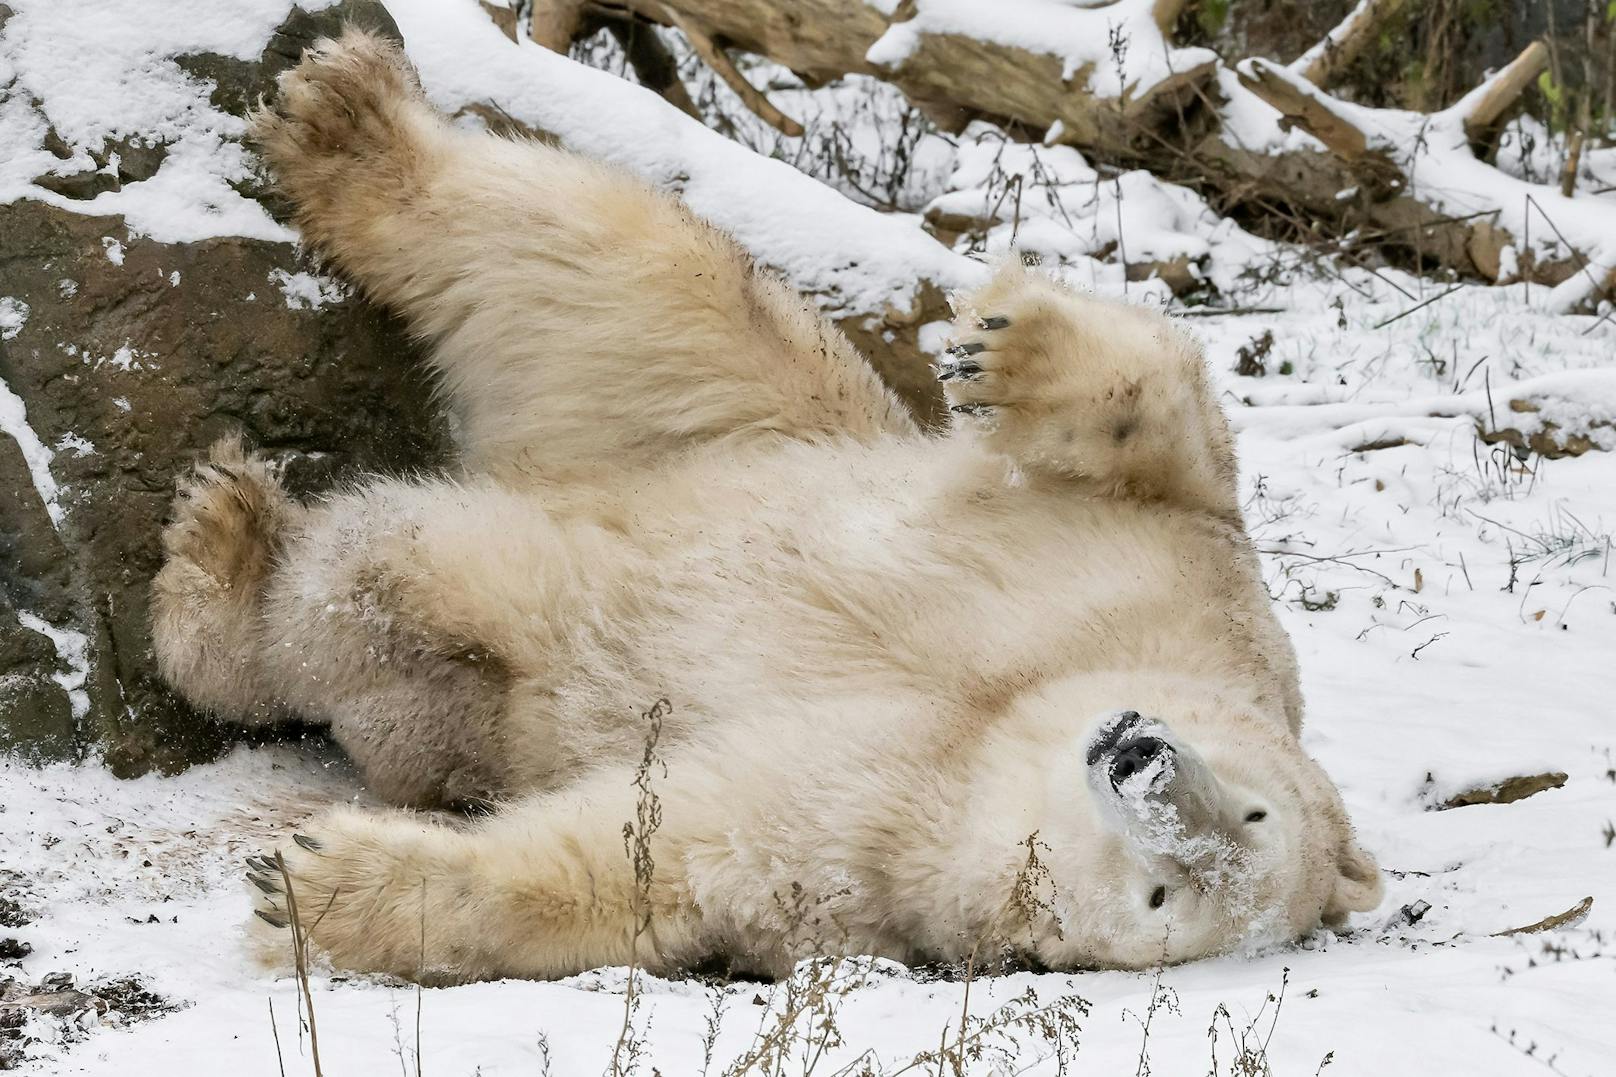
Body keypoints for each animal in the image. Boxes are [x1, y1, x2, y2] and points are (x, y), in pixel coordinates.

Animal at [151, 29, 1383, 983]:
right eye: (1254, 809)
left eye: (1168, 895)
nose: (1142, 759)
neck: (998, 725)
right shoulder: (1186, 589)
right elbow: (1177, 433)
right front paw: (1008, 349)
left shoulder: (876, 843)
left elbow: (645, 855)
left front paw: (320, 884)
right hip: (757, 420)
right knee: (620, 276)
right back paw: (347, 120)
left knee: (403, 603)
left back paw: (228, 557)